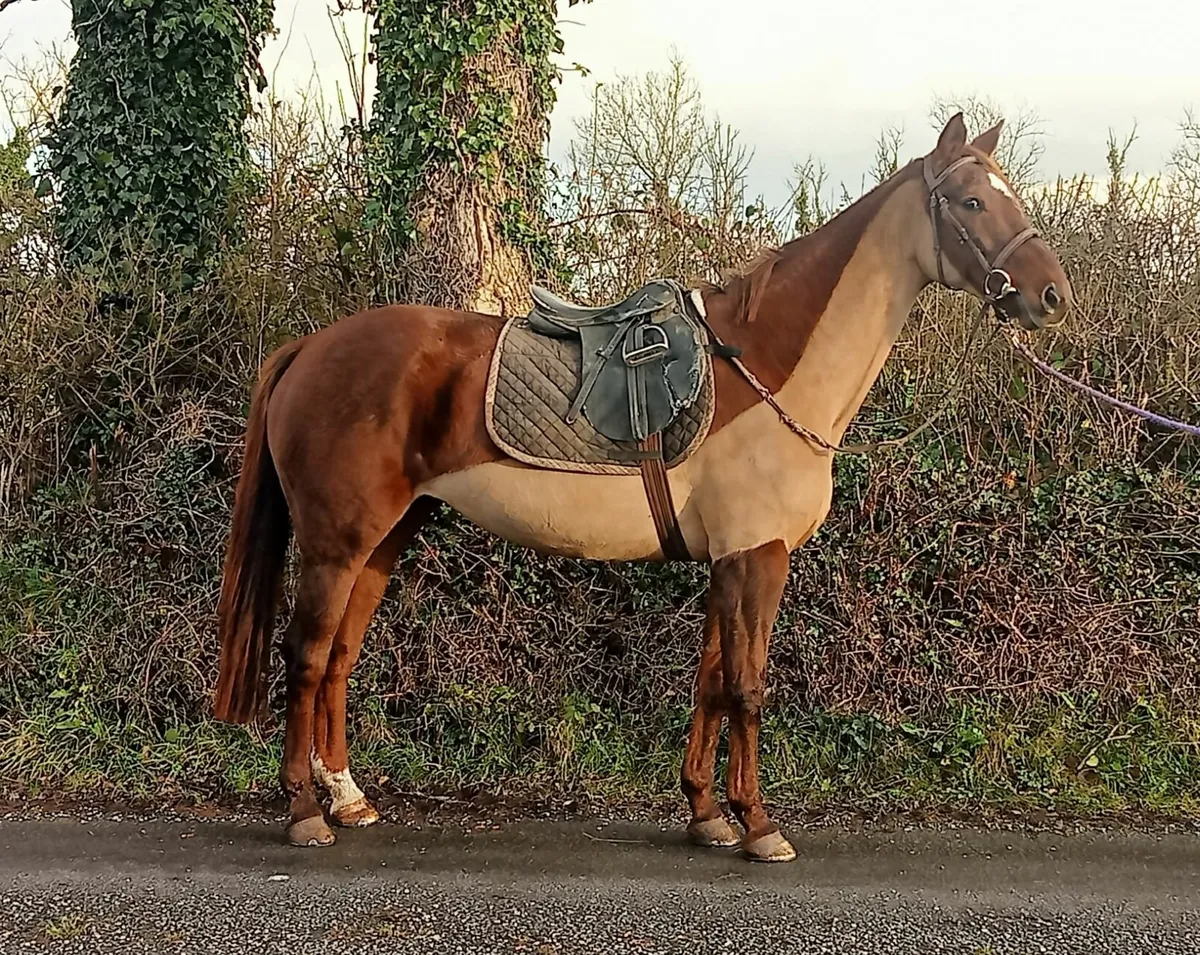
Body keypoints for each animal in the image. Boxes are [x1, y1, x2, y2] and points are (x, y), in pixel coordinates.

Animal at [213, 113, 1072, 862]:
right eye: (972, 200)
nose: (1051, 295)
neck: (768, 367)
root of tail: (310, 346)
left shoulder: (727, 559)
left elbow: (710, 682)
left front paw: (707, 814)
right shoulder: (759, 556)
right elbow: (748, 686)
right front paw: (760, 825)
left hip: (387, 537)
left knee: (339, 655)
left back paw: (348, 797)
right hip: (338, 542)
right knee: (305, 653)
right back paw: (303, 811)